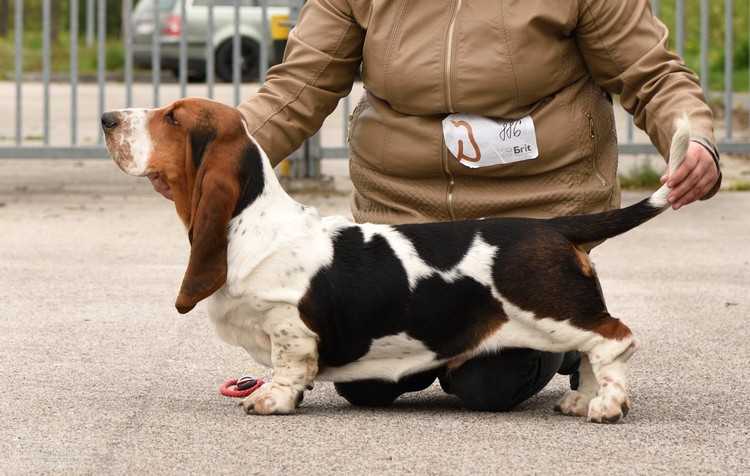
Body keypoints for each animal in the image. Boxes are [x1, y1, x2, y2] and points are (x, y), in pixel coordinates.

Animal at [101, 96, 692, 420]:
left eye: (173, 118)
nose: (107, 118)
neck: (251, 221)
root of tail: (554, 226)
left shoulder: (289, 325)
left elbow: (289, 366)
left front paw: (271, 399)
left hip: (550, 311)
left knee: (614, 339)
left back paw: (606, 406)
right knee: (593, 349)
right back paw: (582, 399)